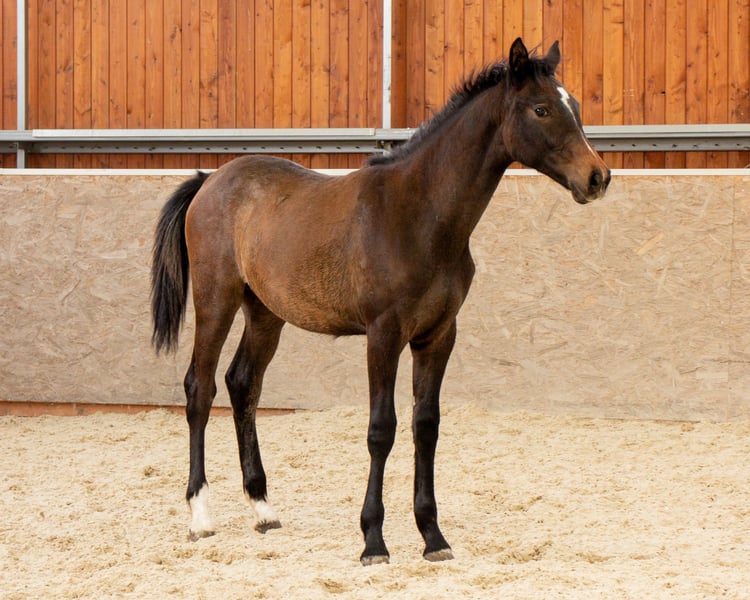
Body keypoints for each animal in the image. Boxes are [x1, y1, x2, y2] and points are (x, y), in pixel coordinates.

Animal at [150, 38, 610, 566]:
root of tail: (210, 180)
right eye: (541, 109)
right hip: (216, 301)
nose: (597, 177)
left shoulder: (438, 335)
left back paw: (263, 509)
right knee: (199, 389)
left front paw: (433, 536)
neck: (418, 214)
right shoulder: (383, 334)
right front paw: (373, 540)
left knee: (242, 384)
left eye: (575, 106)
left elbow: (425, 425)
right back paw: (200, 517)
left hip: (265, 314)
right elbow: (381, 429)